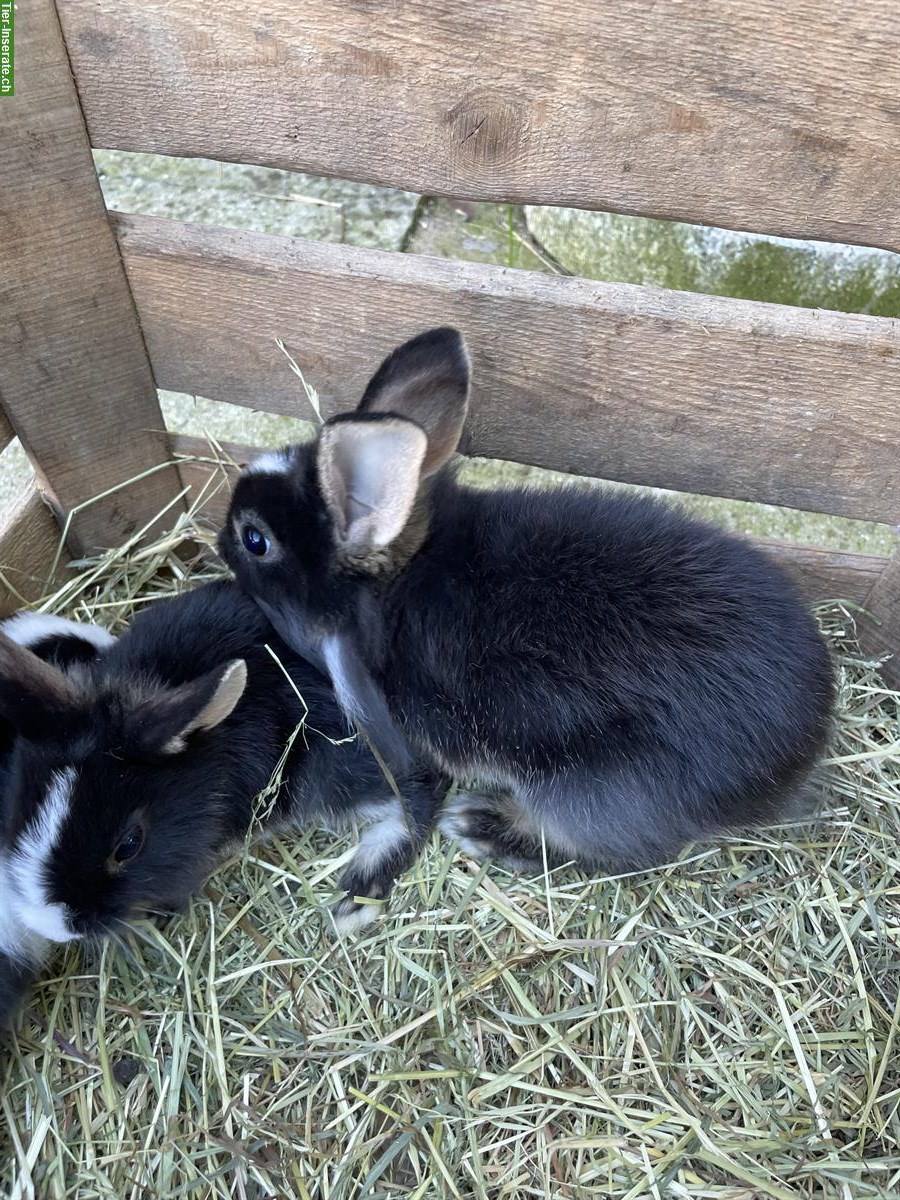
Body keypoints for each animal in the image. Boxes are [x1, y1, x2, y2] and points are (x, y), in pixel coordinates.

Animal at [218, 324, 840, 878]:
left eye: (256, 539)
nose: (221, 537)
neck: (400, 586)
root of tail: (799, 753)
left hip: (589, 790)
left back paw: (480, 825)